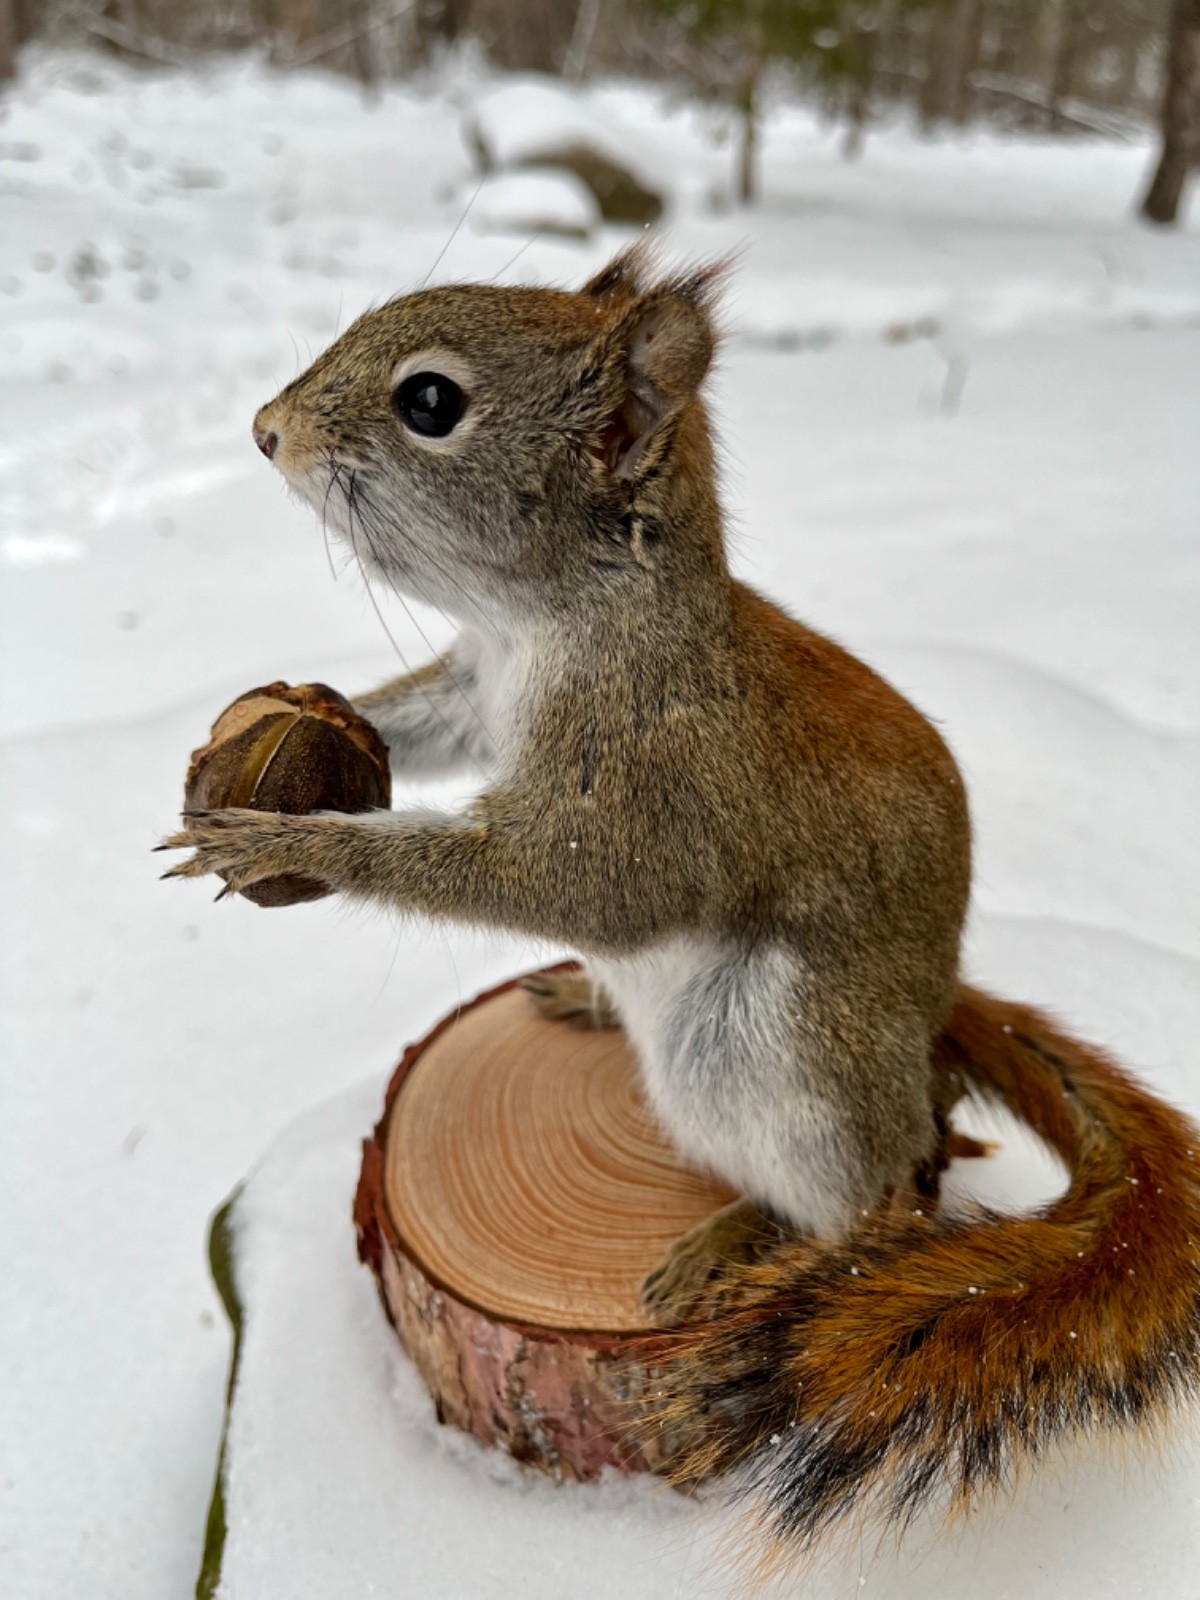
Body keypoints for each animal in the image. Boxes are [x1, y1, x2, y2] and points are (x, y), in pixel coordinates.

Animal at [161, 245, 1200, 1556]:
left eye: (431, 403)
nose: (266, 429)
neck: (549, 624)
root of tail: (929, 1028)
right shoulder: (477, 692)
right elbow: (420, 720)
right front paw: (309, 709)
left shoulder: (652, 788)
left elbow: (578, 886)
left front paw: (294, 838)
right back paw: (586, 1001)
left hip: (781, 1042)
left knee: (868, 1202)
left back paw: (747, 1235)